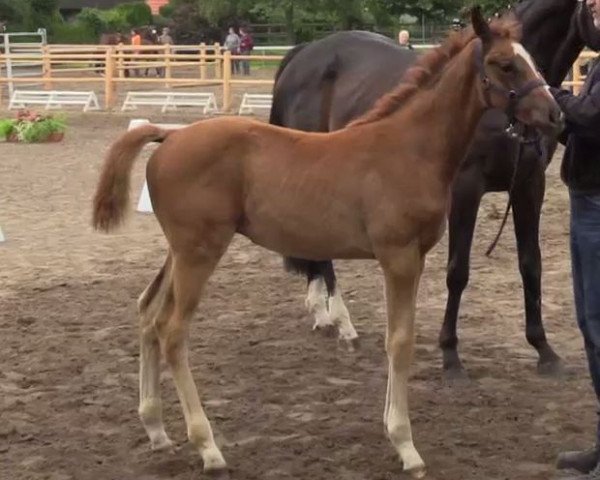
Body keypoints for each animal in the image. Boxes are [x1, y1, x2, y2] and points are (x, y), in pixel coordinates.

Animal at [91, 8, 560, 480]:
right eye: (505, 64)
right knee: (172, 332)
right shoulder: (399, 258)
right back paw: (208, 448)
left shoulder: (415, 259)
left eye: (533, 59)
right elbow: (400, 342)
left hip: (181, 252)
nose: (555, 114)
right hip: (198, 253)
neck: (409, 148)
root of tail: (168, 136)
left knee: (148, 312)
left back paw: (156, 429)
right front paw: (405, 444)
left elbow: (399, 338)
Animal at [270, 0, 600, 376]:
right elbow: (458, 271)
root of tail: (304, 53)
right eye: (505, 66)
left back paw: (322, 314)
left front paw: (544, 349)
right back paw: (343, 324)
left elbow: (531, 264)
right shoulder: (466, 189)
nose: (555, 115)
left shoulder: (529, 185)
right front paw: (450, 352)